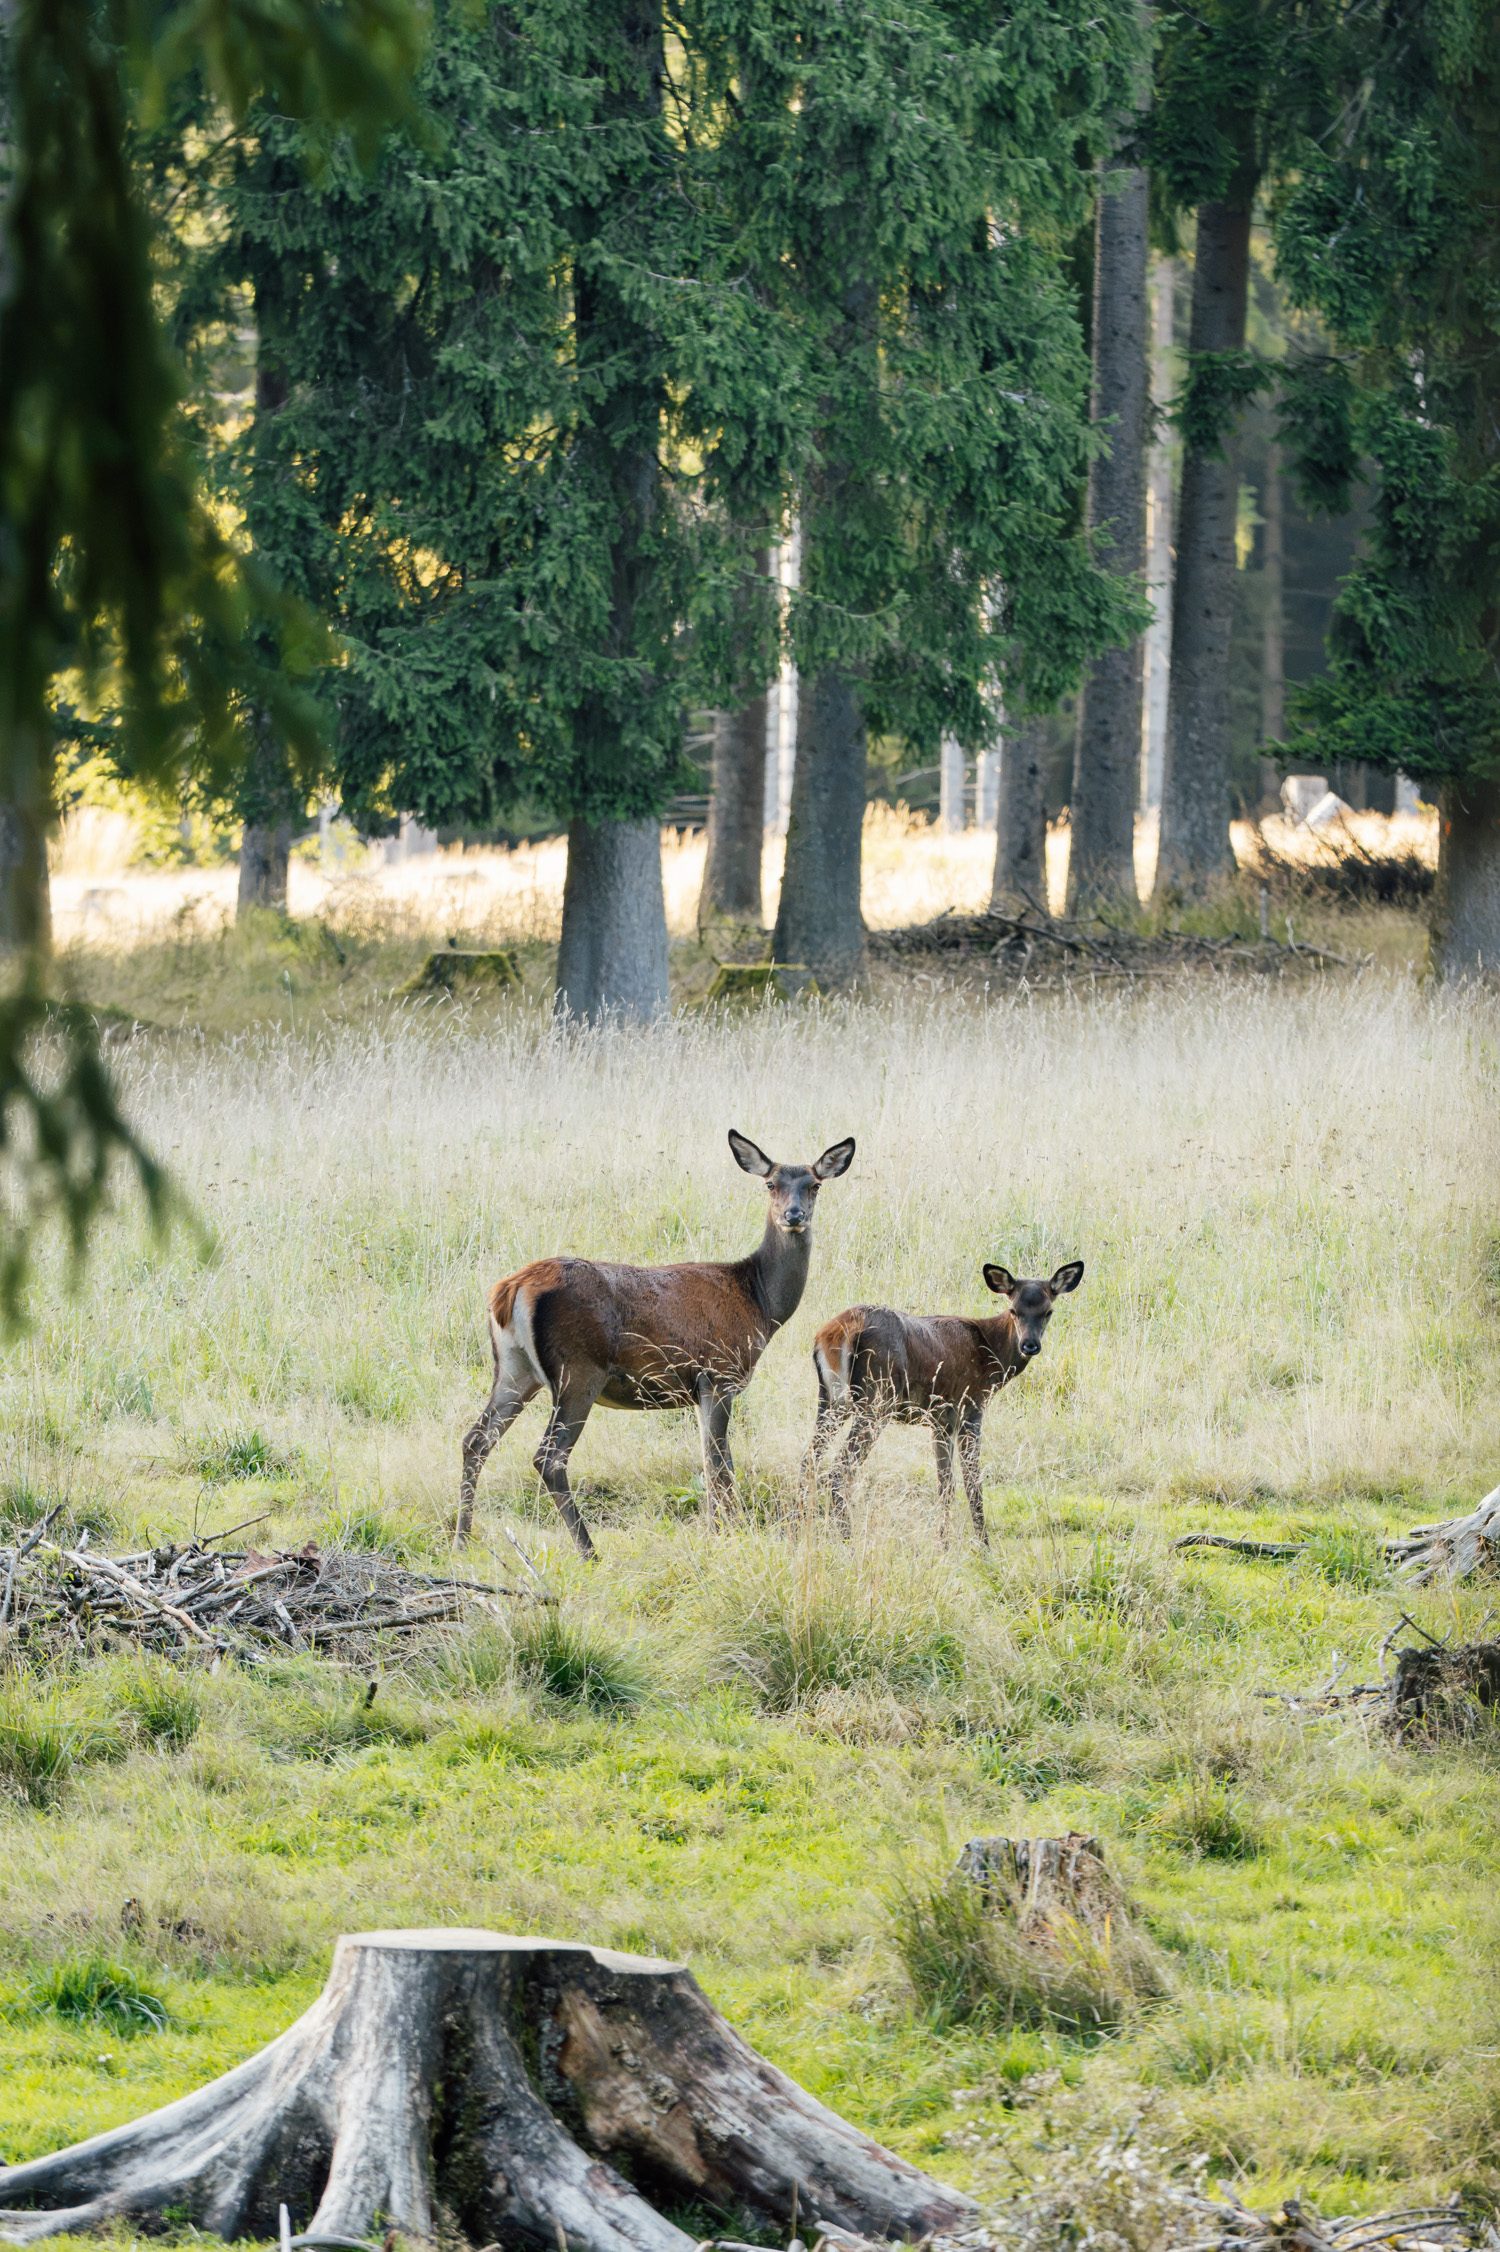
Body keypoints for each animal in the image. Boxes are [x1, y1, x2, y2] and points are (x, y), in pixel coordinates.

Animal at [457, 1129, 857, 1558]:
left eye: (813, 1185)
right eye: (770, 1184)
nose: (793, 1215)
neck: (759, 1302)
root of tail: (510, 1289)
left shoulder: (700, 1387)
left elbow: (712, 1461)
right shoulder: (719, 1374)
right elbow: (718, 1463)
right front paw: (724, 1534)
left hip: (514, 1370)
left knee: (475, 1440)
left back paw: (461, 1540)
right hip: (578, 1371)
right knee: (549, 1457)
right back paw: (588, 1550)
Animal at [804, 1260, 1085, 1543]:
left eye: (1048, 1311)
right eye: (1013, 1310)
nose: (1029, 1345)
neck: (991, 1354)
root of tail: (834, 1333)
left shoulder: (941, 1421)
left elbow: (946, 1485)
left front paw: (943, 1543)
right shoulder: (970, 1408)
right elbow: (972, 1484)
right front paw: (983, 1544)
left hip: (831, 1399)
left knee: (809, 1460)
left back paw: (801, 1525)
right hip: (876, 1400)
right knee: (838, 1471)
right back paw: (847, 1539)